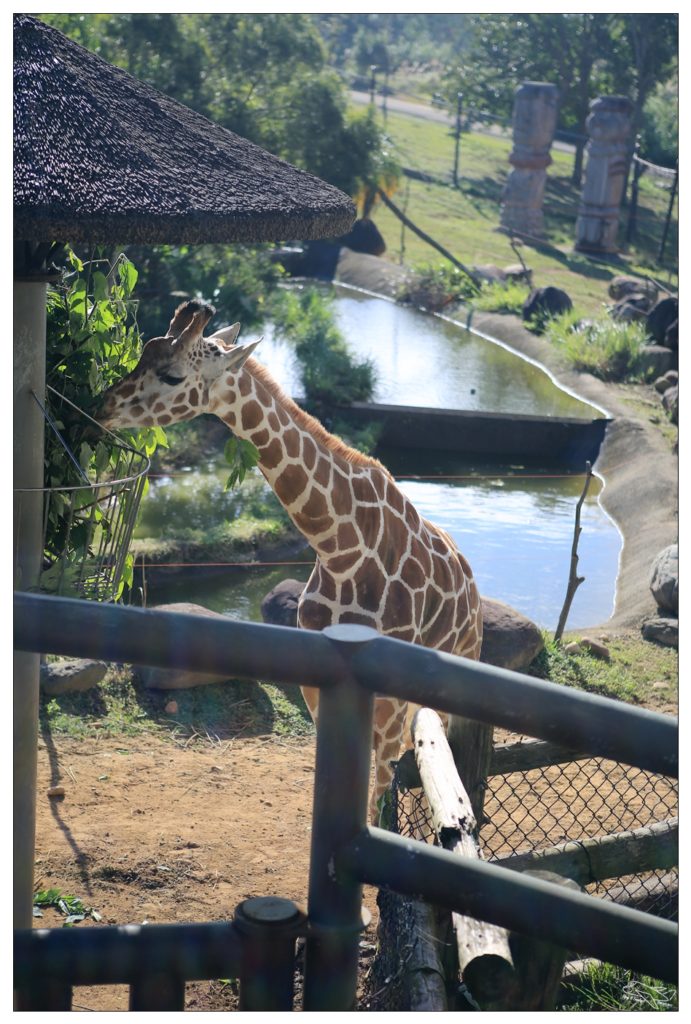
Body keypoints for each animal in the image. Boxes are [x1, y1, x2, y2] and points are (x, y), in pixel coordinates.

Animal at [97, 299, 483, 819]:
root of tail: (472, 587)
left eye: (173, 375)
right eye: (144, 353)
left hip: (443, 683)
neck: (339, 547)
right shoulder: (317, 685)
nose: (103, 405)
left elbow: (373, 795)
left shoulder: (383, 700)